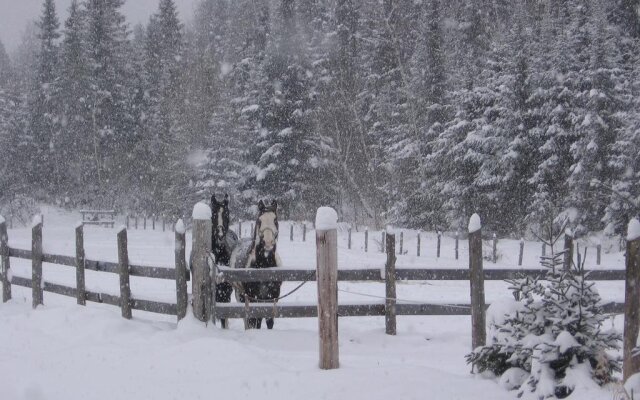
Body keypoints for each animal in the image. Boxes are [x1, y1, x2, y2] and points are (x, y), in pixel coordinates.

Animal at [229, 199, 282, 328]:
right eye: (259, 220)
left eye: (275, 220)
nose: (268, 242)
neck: (264, 268)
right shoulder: (252, 298)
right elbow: (253, 320)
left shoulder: (272, 297)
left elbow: (269, 321)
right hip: (240, 296)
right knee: (247, 319)